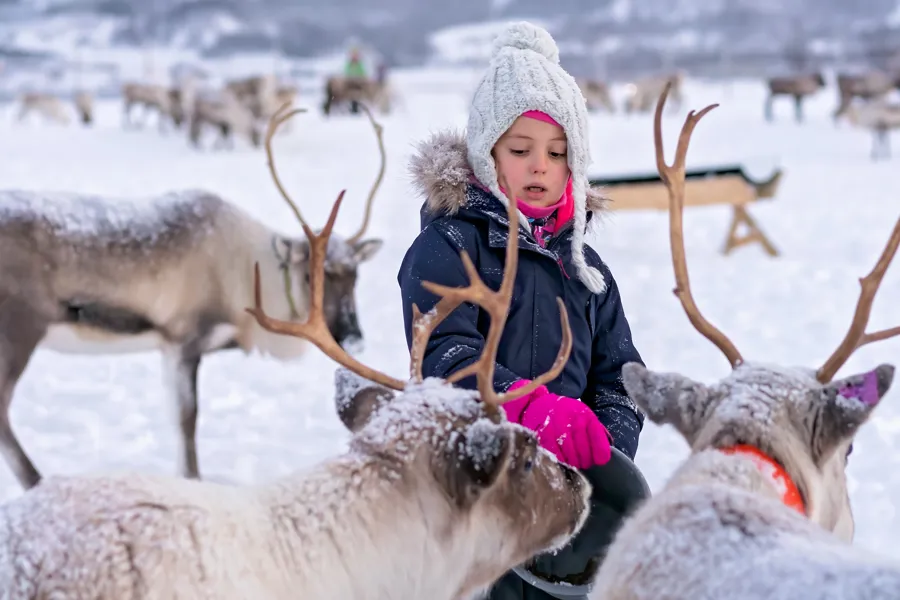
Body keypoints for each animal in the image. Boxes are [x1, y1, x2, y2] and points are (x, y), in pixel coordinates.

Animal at [0, 102, 386, 491]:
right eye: (310, 274)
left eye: (355, 275)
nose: (354, 336)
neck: (248, 277)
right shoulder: (184, 338)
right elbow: (188, 418)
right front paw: (192, 479)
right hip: (20, 331)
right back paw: (36, 481)